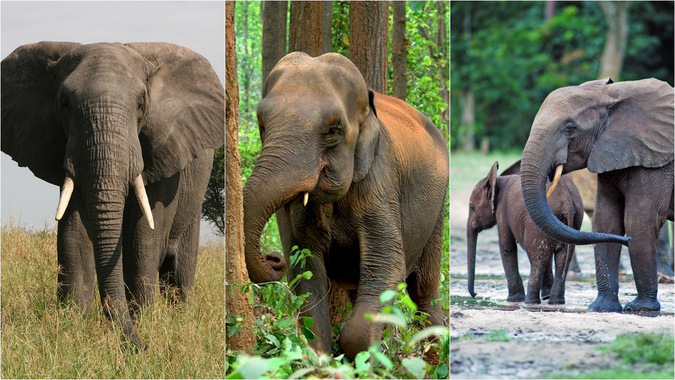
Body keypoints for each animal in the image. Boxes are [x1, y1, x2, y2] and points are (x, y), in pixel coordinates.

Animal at [0, 41, 227, 348]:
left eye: (141, 104)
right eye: (65, 104)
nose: (142, 347)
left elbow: (141, 237)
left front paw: (146, 323)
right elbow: (74, 236)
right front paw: (72, 330)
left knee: (179, 272)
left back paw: (181, 318)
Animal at [243, 52, 448, 358]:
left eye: (333, 130)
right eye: (262, 125)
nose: (274, 259)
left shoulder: (379, 181)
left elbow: (389, 265)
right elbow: (306, 273)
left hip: (437, 212)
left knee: (423, 291)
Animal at [468, 162, 584, 304]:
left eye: (472, 208)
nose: (475, 295)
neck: (498, 180)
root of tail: (566, 200)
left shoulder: (502, 212)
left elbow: (507, 247)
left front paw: (513, 300)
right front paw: (545, 296)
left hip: (536, 223)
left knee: (537, 257)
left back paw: (530, 302)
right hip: (573, 218)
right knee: (560, 257)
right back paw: (554, 301)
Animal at [520, 77, 672, 312]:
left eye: (570, 128)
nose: (626, 241)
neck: (608, 95)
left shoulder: (656, 161)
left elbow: (639, 220)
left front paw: (641, 309)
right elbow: (606, 219)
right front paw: (601, 308)